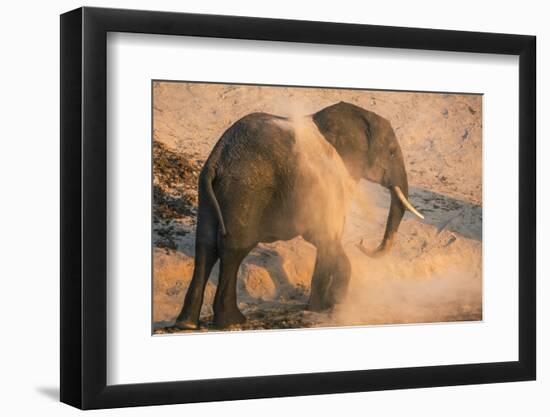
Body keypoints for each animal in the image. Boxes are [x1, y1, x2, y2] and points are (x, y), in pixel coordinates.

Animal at [175, 101, 424, 328]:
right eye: (391, 152)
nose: (362, 243)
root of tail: (217, 158)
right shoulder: (327, 181)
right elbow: (325, 236)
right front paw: (334, 306)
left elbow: (324, 240)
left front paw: (318, 308)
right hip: (246, 189)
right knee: (233, 249)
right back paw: (231, 321)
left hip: (209, 192)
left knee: (205, 246)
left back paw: (187, 324)